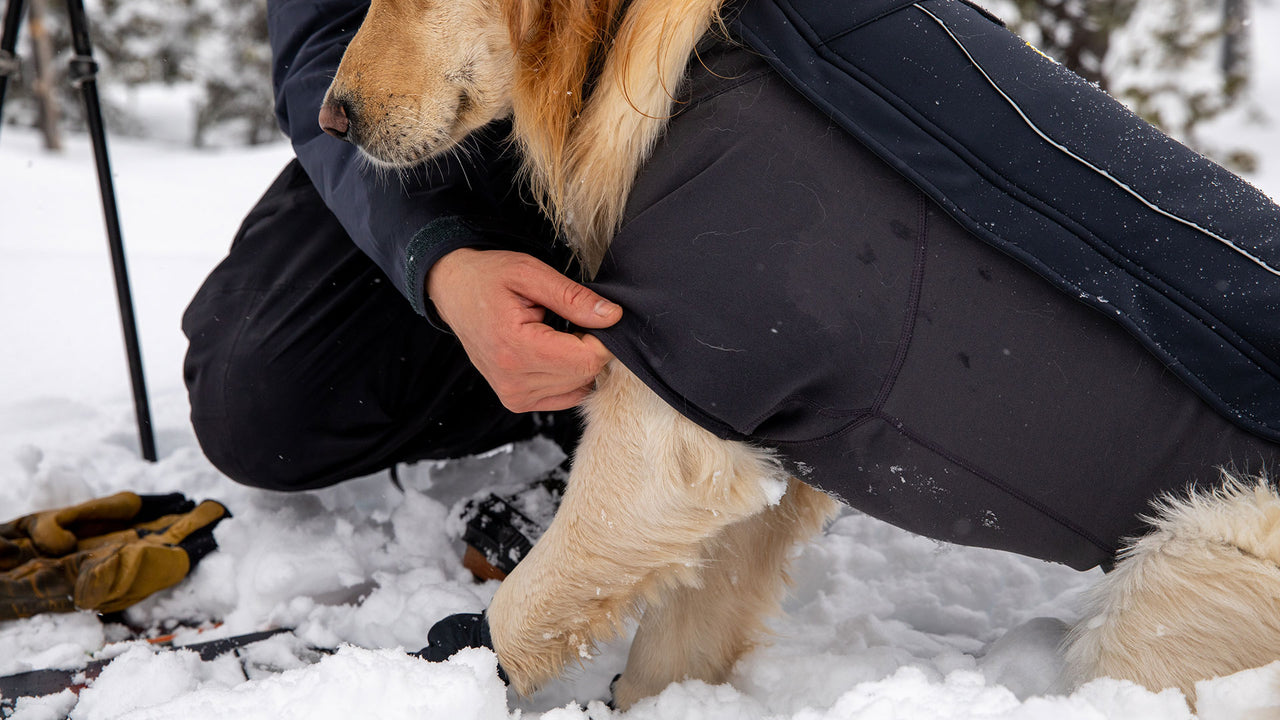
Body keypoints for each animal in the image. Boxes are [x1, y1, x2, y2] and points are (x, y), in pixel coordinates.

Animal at [317, 0, 1280, 707]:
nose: (330, 118)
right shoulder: (754, 440)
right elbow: (679, 640)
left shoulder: (675, 426)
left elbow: (526, 606)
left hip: (1178, 586)